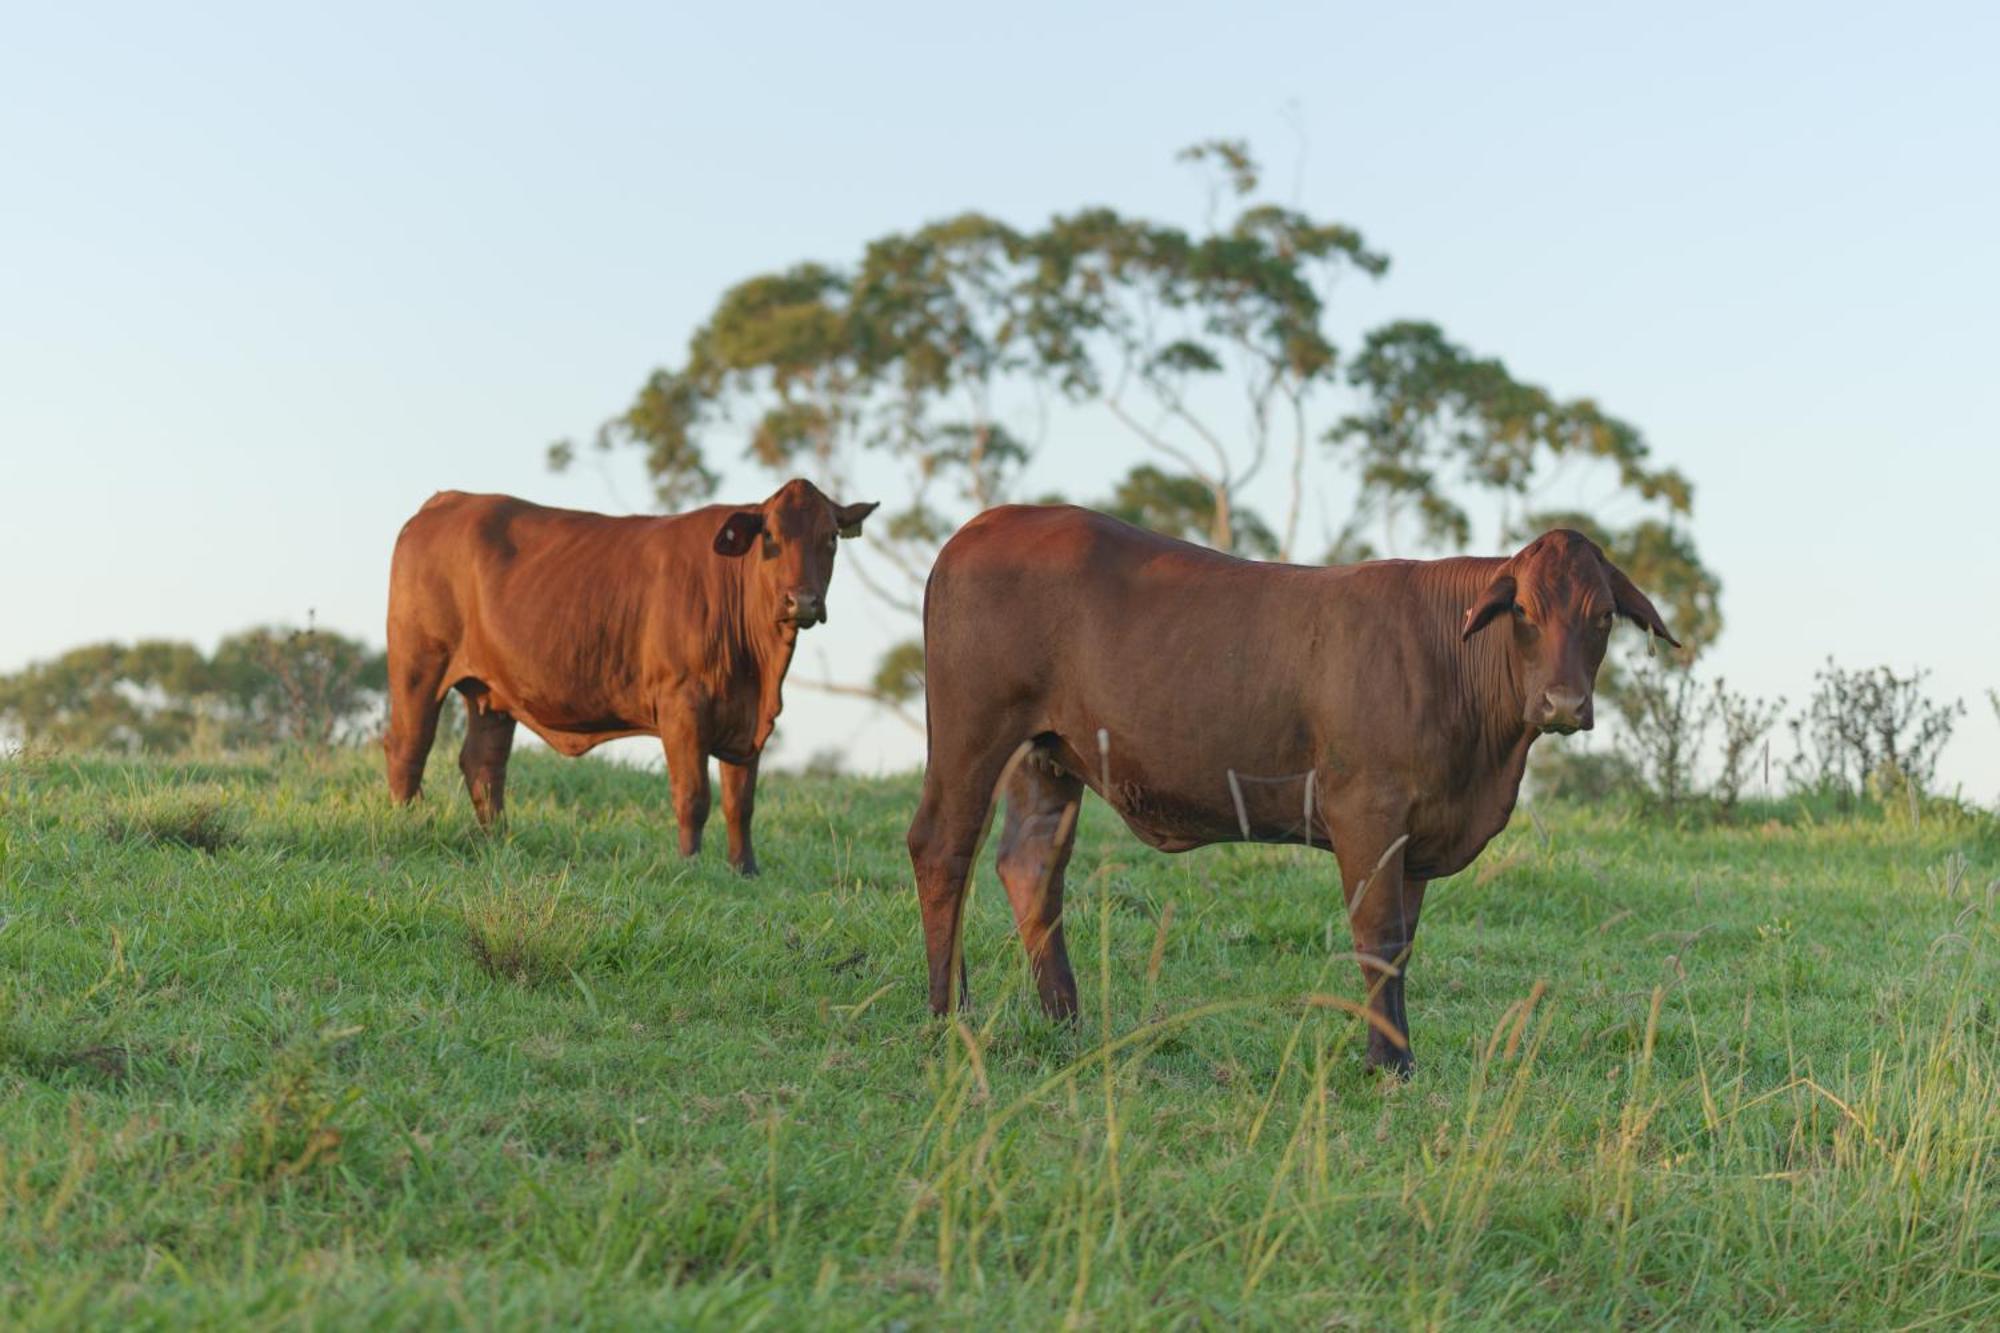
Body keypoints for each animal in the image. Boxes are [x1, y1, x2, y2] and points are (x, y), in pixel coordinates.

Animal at [382, 478, 876, 872]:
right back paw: (408, 828)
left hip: (491, 691)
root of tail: (448, 500)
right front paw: (689, 865)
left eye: (831, 537)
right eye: (770, 535)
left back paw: (497, 841)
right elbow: (693, 795)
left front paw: (745, 870)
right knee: (409, 748)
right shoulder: (682, 703)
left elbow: (741, 802)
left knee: (484, 765)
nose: (803, 601)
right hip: (419, 663)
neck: (760, 667)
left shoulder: (748, 719)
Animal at [908, 504, 1672, 1072]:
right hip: (973, 731)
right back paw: (949, 1015)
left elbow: (1404, 942)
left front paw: (1394, 1054)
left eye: (1603, 615)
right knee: (942, 849)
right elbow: (1378, 937)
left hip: (1047, 756)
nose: (1564, 703)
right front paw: (1389, 1065)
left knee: (1032, 867)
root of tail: (988, 523)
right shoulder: (1367, 810)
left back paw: (1066, 1022)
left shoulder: (1418, 833)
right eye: (1524, 613)